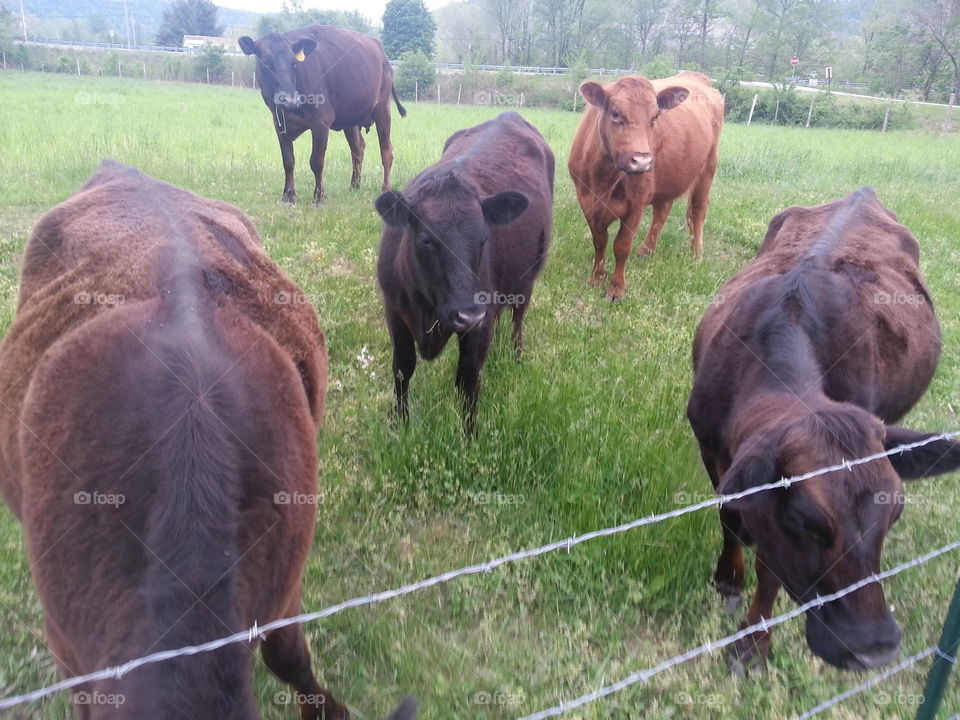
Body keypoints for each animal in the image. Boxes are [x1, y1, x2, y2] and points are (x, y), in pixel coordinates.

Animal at [240, 25, 408, 204]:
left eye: (294, 64)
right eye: (265, 62)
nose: (290, 99)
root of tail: (380, 50)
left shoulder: (321, 123)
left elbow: (316, 162)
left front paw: (319, 197)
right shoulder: (279, 124)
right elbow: (288, 161)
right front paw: (288, 195)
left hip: (382, 108)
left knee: (386, 151)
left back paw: (385, 188)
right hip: (350, 120)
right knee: (358, 148)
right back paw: (354, 185)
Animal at [376, 109, 556, 430]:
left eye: (484, 238)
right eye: (426, 240)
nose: (468, 314)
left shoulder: (479, 322)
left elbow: (468, 379)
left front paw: (468, 434)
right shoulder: (394, 309)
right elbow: (402, 368)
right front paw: (400, 423)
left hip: (527, 278)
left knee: (517, 319)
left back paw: (515, 357)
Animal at [568, 71, 720, 300]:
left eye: (655, 117)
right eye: (615, 113)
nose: (641, 161)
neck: (604, 180)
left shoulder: (636, 205)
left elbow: (621, 246)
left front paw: (617, 288)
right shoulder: (586, 200)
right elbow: (599, 241)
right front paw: (596, 278)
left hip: (708, 166)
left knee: (698, 209)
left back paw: (696, 253)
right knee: (662, 211)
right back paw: (647, 250)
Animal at [688, 188, 960, 672]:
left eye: (895, 512)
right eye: (803, 519)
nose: (873, 648)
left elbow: (771, 568)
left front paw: (752, 644)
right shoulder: (712, 447)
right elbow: (731, 519)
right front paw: (729, 581)